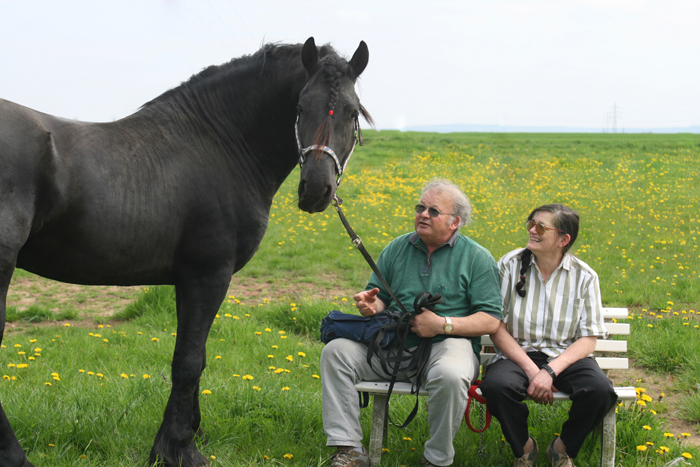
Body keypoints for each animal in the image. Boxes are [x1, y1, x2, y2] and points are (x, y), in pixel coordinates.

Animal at [0, 37, 372, 467]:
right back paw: (15, 457)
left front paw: (187, 434)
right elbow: (188, 361)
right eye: (299, 108)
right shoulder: (209, 273)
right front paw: (178, 448)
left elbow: (196, 355)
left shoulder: (187, 279)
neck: (218, 144)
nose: (315, 189)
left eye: (351, 111)